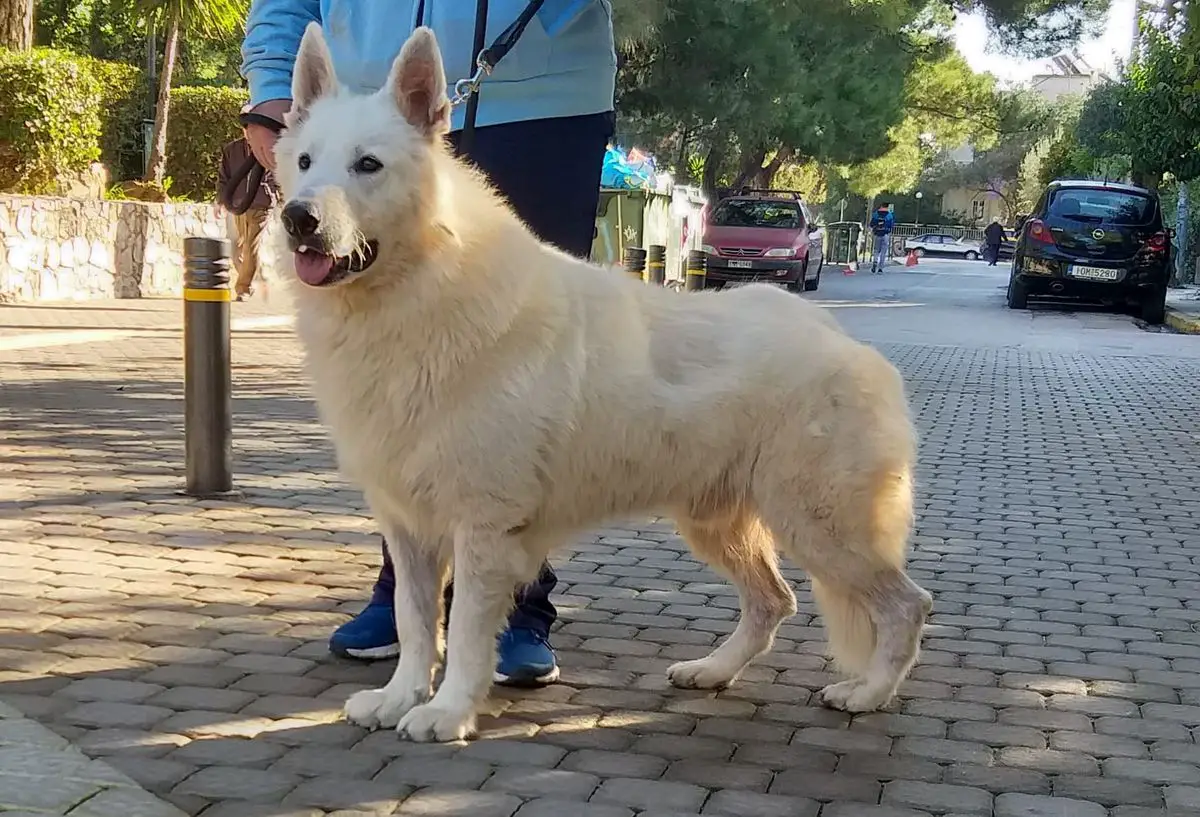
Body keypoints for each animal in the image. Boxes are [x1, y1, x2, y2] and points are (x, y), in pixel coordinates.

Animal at [276, 25, 931, 743]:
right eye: (305, 162)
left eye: (368, 165)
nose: (297, 218)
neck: (421, 291)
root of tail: (842, 337)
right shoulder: (409, 528)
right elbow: (415, 624)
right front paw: (399, 697)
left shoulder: (483, 529)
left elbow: (467, 635)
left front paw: (446, 712)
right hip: (719, 523)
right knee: (773, 602)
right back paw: (712, 671)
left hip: (823, 529)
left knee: (906, 605)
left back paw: (868, 692)